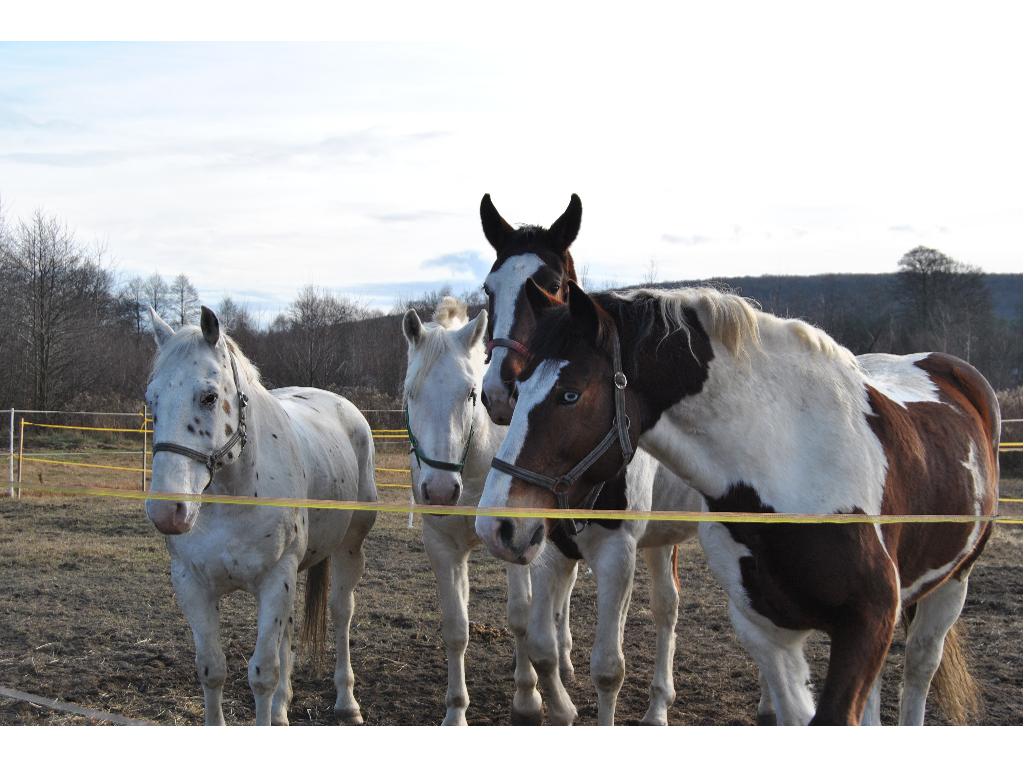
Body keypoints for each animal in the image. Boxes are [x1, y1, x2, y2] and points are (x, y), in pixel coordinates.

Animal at [146, 307, 378, 729]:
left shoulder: (275, 579)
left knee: (341, 614)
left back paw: (346, 702)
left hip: (349, 550)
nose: (168, 511)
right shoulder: (192, 583)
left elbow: (262, 674)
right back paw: (283, 710)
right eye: (151, 400)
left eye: (209, 397)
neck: (231, 499)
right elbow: (212, 668)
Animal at [479, 282, 999, 729]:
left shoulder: (866, 622)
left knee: (918, 668)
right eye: (520, 390)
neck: (790, 466)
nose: (496, 525)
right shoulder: (767, 631)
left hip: (952, 583)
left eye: (570, 394)